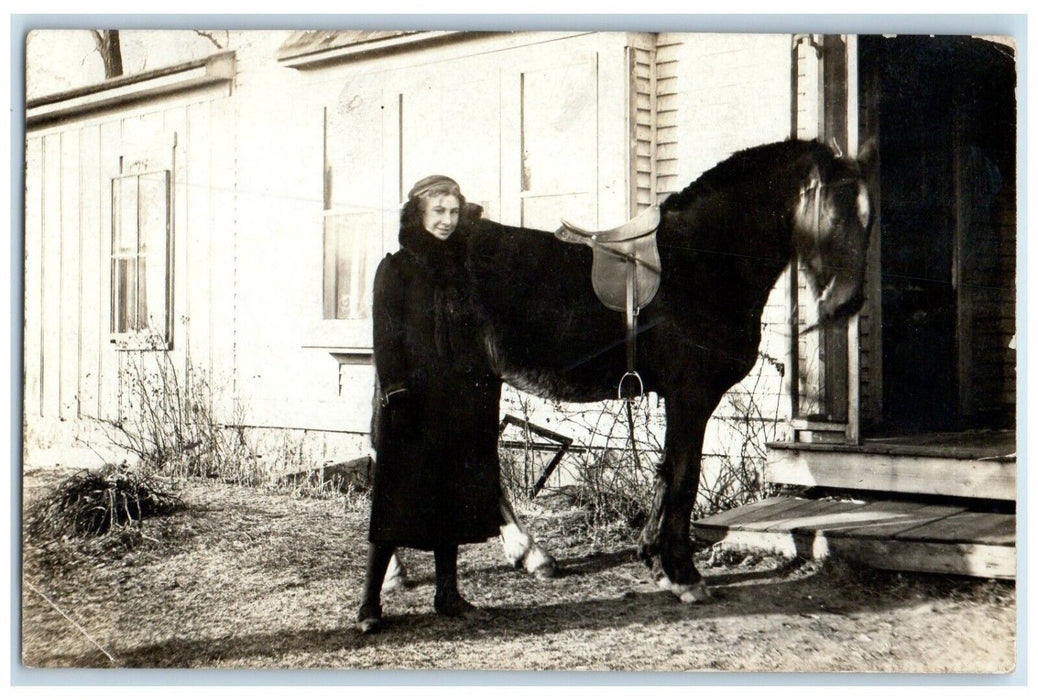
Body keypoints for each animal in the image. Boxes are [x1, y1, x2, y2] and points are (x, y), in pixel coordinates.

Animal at [465, 139, 876, 598]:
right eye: (837, 211)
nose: (847, 303)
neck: (702, 259)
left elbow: (672, 474)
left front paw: (656, 559)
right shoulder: (691, 395)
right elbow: (683, 476)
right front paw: (682, 573)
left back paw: (527, 555)